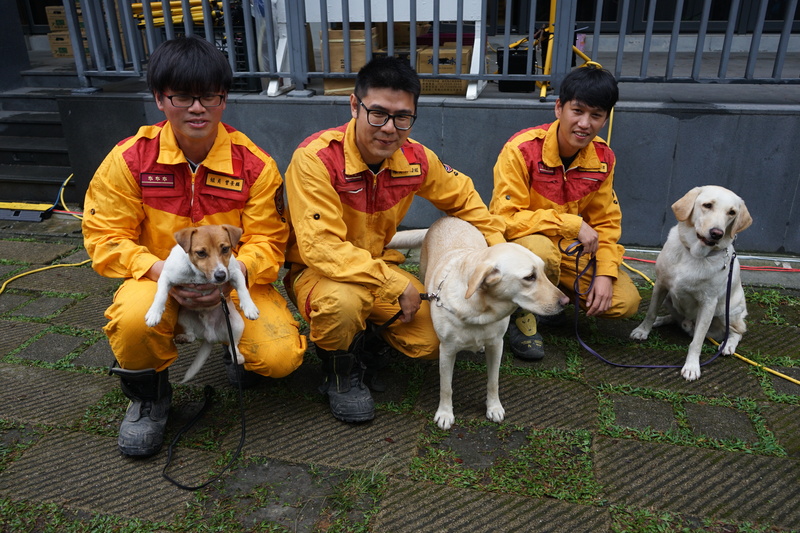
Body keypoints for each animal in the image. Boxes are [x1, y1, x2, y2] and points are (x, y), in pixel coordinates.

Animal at [143, 224, 256, 382]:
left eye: (225, 249)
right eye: (201, 253)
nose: (220, 276)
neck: (199, 275)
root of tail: (211, 336)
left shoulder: (235, 272)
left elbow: (242, 289)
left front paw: (249, 307)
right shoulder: (166, 276)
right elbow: (161, 295)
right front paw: (154, 313)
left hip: (236, 324)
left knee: (233, 346)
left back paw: (238, 357)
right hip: (183, 316)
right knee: (192, 335)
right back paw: (183, 337)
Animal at [390, 216, 568, 428]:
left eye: (542, 270)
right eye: (529, 277)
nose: (566, 302)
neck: (479, 312)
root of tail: (447, 218)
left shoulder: (497, 346)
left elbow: (493, 381)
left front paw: (494, 408)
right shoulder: (447, 351)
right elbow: (446, 386)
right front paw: (445, 413)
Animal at [632, 185, 752, 380]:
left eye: (732, 212)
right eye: (707, 205)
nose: (717, 233)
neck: (694, 254)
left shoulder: (708, 304)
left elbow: (697, 341)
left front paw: (692, 367)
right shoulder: (660, 285)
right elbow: (650, 312)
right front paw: (643, 330)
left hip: (727, 311)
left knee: (737, 331)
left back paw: (727, 345)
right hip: (669, 298)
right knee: (675, 317)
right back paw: (662, 320)